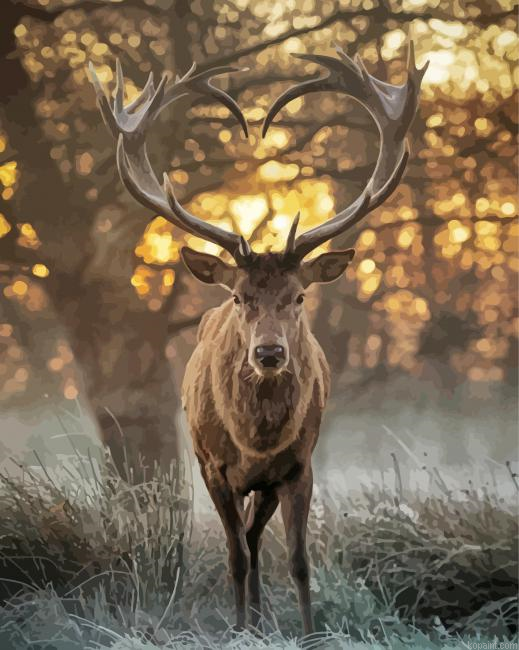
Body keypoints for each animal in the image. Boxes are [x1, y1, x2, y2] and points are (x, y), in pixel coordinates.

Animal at [90, 42, 427, 635]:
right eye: (239, 297)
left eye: (299, 297)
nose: (269, 352)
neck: (256, 438)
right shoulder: (212, 466)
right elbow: (235, 556)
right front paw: (241, 631)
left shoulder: (298, 466)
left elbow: (296, 558)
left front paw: (309, 634)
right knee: (243, 545)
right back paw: (249, 618)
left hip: (268, 484)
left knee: (254, 534)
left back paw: (263, 616)